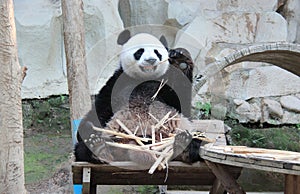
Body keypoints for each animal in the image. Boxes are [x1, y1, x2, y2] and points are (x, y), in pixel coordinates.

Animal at [74, 29, 200, 165]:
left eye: (157, 52)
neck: (143, 79)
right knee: (82, 148)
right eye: (140, 51)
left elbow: (182, 100)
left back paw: (184, 146)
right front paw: (86, 128)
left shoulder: (166, 84)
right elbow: (99, 109)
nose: (151, 60)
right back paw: (99, 149)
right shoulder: (117, 82)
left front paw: (181, 60)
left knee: (196, 139)